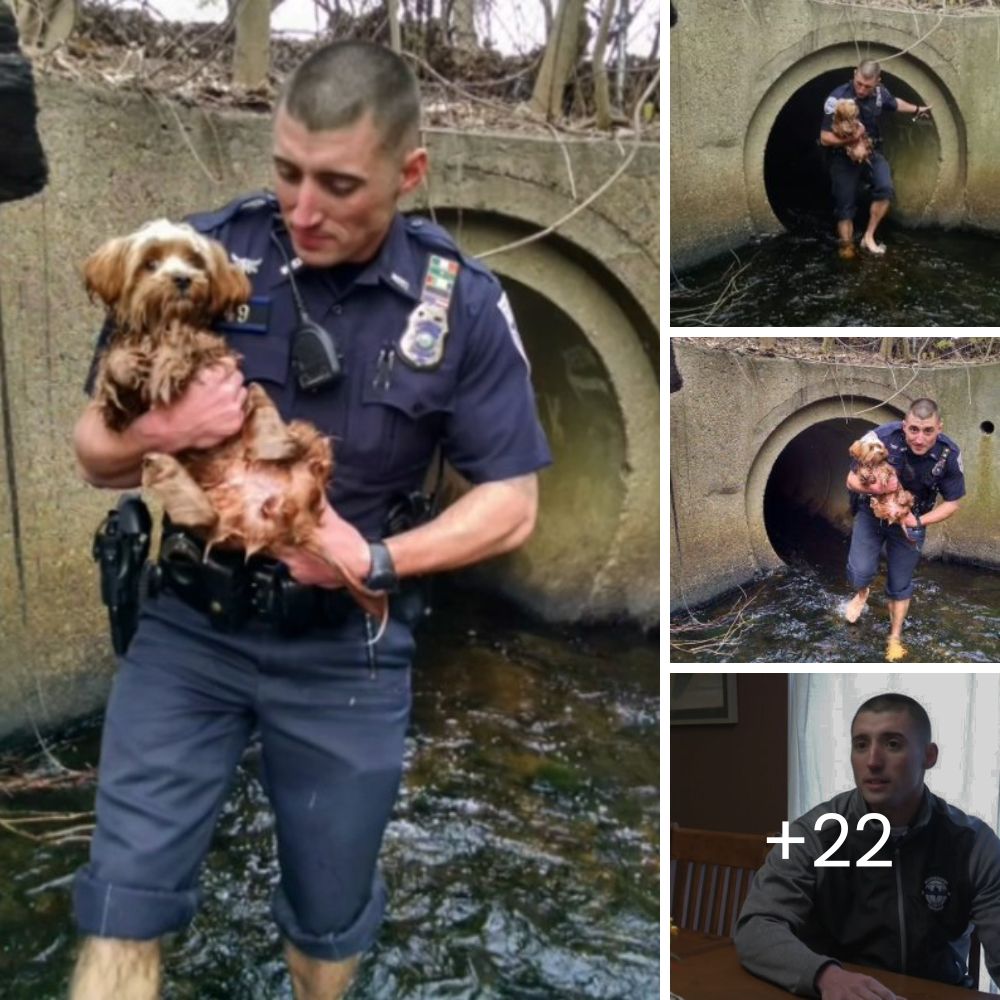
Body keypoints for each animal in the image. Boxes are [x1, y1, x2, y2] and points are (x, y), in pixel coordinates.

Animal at [84, 223, 388, 628]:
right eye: (150, 263)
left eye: (195, 260)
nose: (183, 279)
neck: (161, 321)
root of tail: (286, 514)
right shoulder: (125, 409)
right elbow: (115, 375)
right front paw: (126, 366)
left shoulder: (215, 351)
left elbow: (187, 339)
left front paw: (168, 359)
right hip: (217, 522)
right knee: (204, 514)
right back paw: (166, 469)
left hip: (299, 434)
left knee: (299, 441)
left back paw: (271, 442)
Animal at [844, 398, 960, 664]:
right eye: (871, 446)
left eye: (879, 447)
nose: (881, 451)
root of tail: (894, 518)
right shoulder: (862, 472)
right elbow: (861, 475)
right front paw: (867, 477)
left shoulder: (890, 474)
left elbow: (889, 475)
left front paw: (882, 476)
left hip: (905, 503)